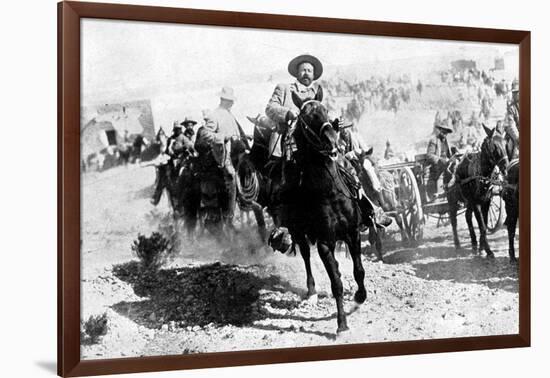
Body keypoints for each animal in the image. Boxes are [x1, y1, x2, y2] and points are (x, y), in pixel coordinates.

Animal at [286, 92, 368, 334]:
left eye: (325, 110)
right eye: (305, 117)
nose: (332, 140)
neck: (330, 193)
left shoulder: (353, 233)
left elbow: (359, 271)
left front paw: (360, 296)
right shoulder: (323, 243)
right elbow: (336, 284)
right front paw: (341, 324)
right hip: (299, 233)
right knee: (305, 255)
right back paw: (312, 292)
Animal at [450, 125, 512, 258]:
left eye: (505, 144)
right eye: (494, 147)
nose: (506, 168)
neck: (481, 176)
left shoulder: (486, 201)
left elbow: (484, 222)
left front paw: (481, 247)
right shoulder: (477, 203)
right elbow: (482, 226)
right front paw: (488, 250)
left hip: (469, 202)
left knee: (468, 217)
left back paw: (473, 243)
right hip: (453, 201)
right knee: (454, 221)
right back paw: (457, 244)